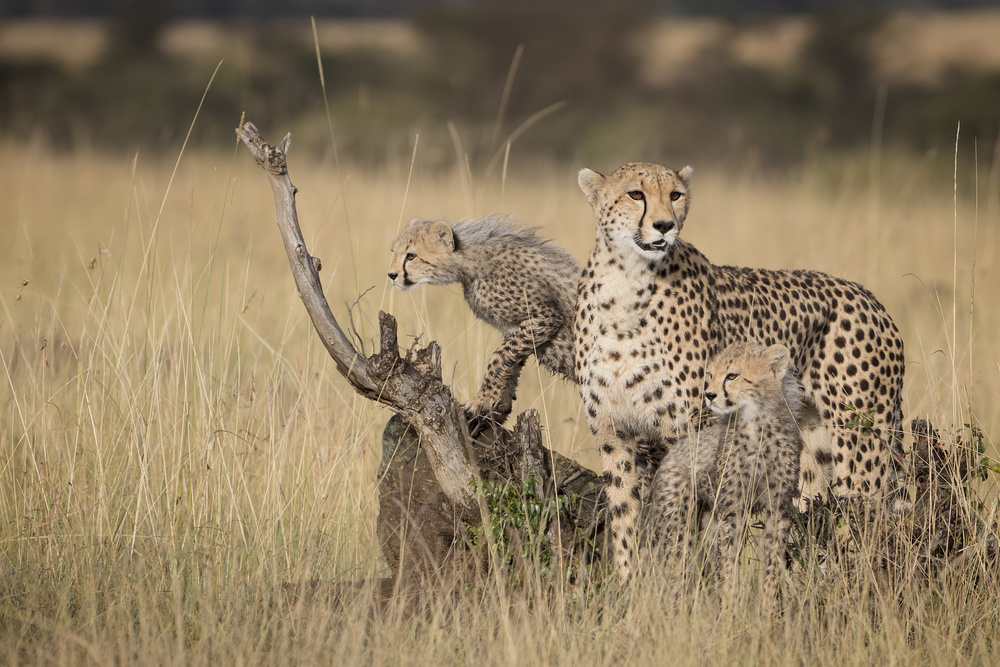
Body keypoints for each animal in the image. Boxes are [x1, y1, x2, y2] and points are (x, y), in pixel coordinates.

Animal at [389, 215, 579, 429]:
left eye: (411, 256)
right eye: (394, 252)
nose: (391, 275)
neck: (470, 263)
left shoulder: (544, 317)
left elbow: (499, 356)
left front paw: (482, 399)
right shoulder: (516, 328)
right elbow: (512, 361)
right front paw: (498, 405)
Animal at [575, 161, 905, 582]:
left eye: (676, 195)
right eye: (636, 194)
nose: (665, 225)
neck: (625, 282)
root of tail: (871, 299)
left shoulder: (692, 426)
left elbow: (691, 521)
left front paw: (688, 587)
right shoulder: (612, 432)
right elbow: (624, 517)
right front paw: (630, 585)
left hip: (861, 443)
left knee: (869, 520)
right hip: (811, 447)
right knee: (813, 515)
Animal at [648, 341, 803, 611]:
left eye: (732, 376)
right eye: (710, 375)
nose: (709, 395)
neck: (758, 422)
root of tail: (674, 451)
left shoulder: (778, 507)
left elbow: (772, 562)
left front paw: (768, 609)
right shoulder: (732, 509)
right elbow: (729, 564)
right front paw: (731, 608)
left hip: (708, 520)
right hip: (679, 524)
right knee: (677, 568)